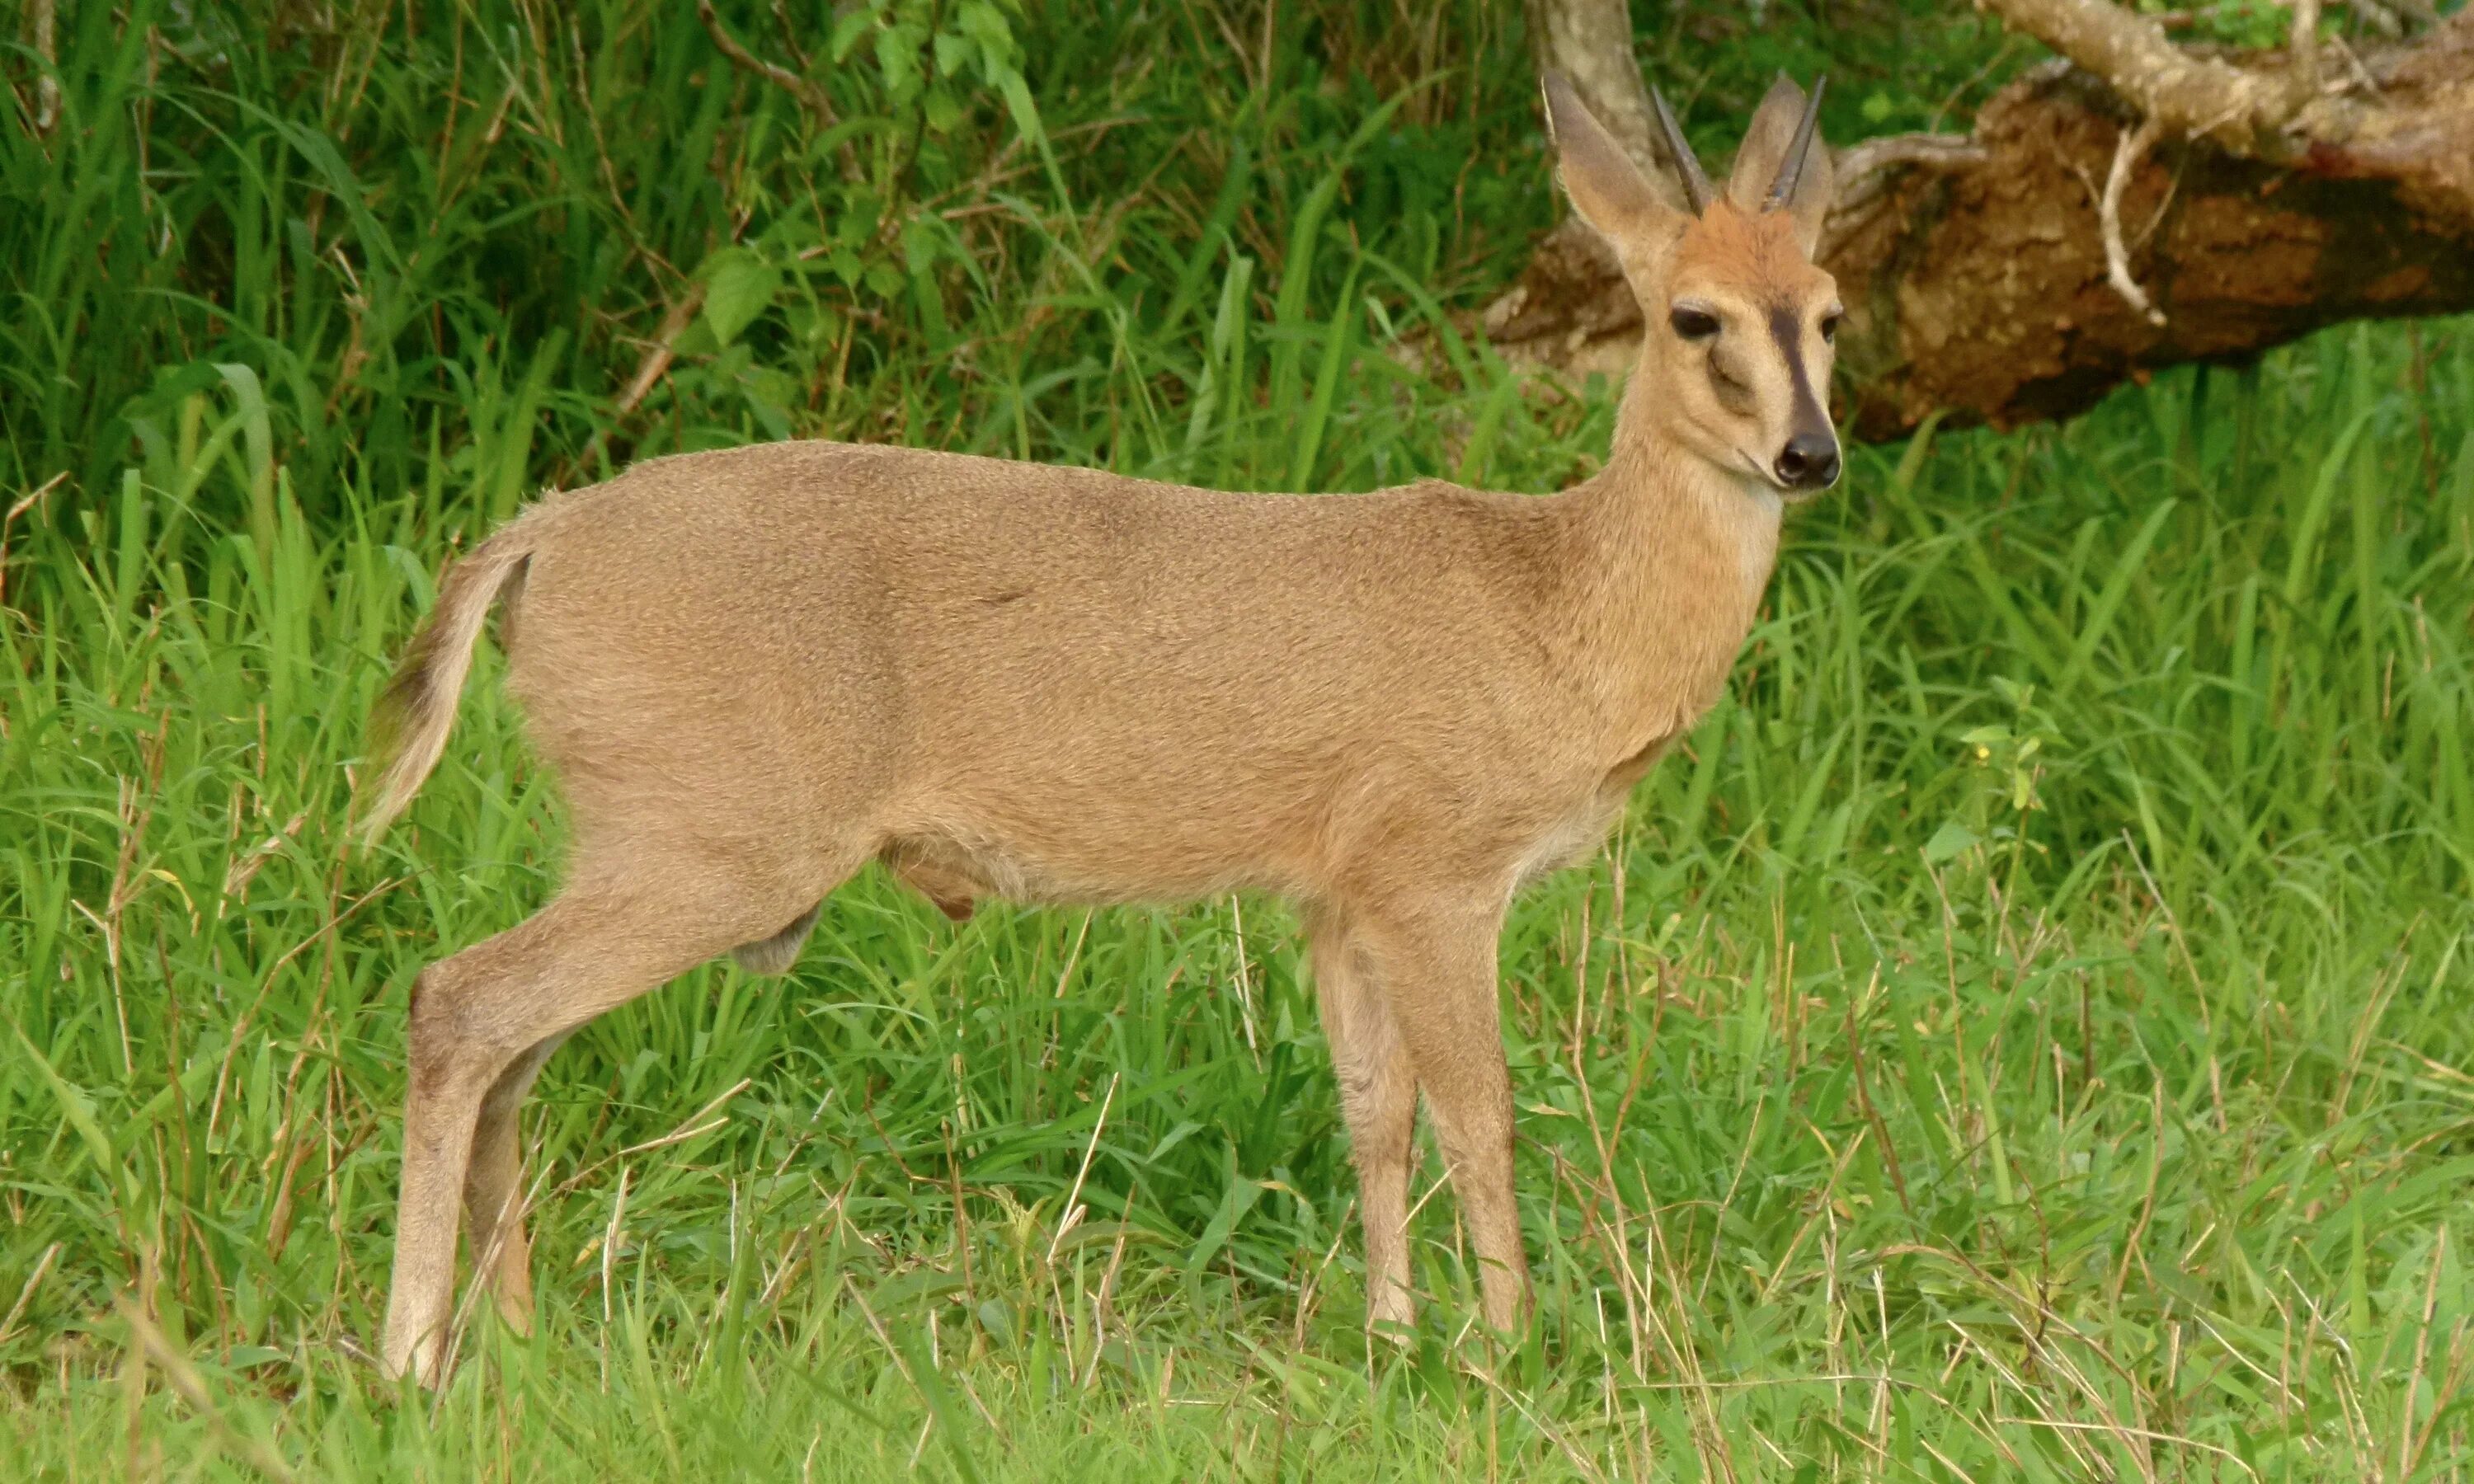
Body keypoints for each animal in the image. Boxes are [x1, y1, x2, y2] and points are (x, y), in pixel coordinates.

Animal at [361, 72, 1841, 1395]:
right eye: (1694, 317)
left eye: (1830, 313)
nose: (1812, 455)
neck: (1558, 609)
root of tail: (535, 544)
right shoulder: (1438, 873)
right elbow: (1482, 1116)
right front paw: (1507, 1350)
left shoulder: (1337, 895)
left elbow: (1375, 1114)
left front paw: (1392, 1340)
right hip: (714, 842)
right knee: (460, 1003)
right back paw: (408, 1362)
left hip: (652, 843)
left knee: (509, 1053)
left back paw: (518, 1350)